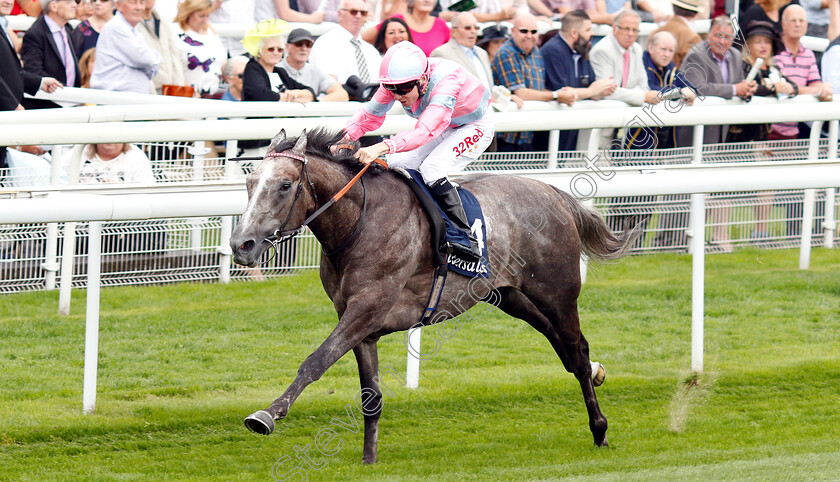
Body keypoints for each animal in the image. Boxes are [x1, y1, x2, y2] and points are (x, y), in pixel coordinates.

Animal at [228, 127, 636, 464]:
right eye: (249, 182)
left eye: (284, 185)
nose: (241, 244)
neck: (359, 223)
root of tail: (554, 193)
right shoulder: (358, 322)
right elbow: (370, 396)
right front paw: (369, 459)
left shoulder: (366, 309)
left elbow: (315, 361)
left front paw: (265, 415)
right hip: (511, 296)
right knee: (564, 346)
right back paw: (597, 372)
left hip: (557, 293)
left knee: (576, 349)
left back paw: (600, 428)